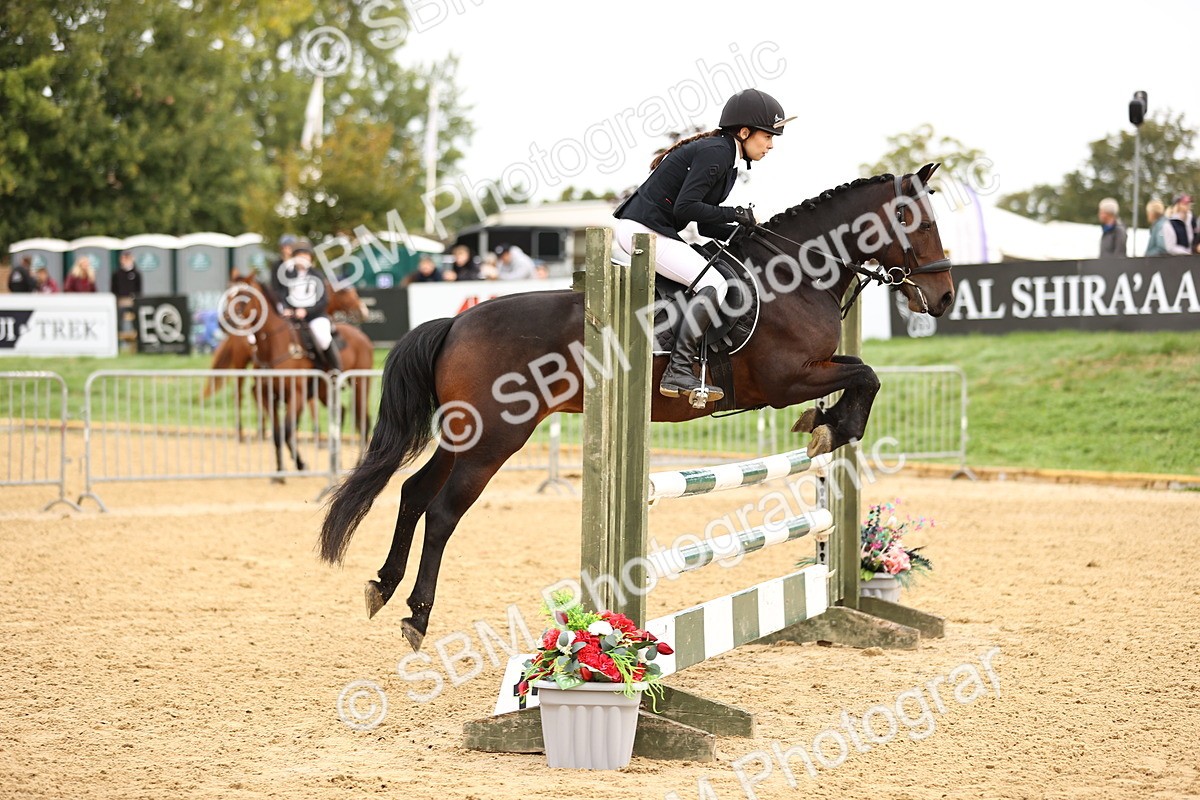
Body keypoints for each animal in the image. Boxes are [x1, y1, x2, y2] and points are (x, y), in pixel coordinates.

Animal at [219, 276, 375, 477]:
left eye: (243, 298)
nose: (224, 322)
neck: (273, 346)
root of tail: (362, 337)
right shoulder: (266, 395)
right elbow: (278, 434)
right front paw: (280, 472)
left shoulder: (298, 395)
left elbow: (287, 431)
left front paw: (300, 464)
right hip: (325, 391)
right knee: (342, 412)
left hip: (361, 384)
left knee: (363, 422)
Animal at [319, 165, 956, 652]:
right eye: (916, 222)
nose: (946, 298)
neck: (794, 276)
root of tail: (456, 322)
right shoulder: (787, 377)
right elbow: (866, 375)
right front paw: (833, 426)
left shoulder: (811, 368)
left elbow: (860, 372)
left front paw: (823, 424)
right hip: (497, 438)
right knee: (444, 511)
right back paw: (417, 615)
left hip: (464, 434)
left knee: (413, 492)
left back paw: (383, 587)